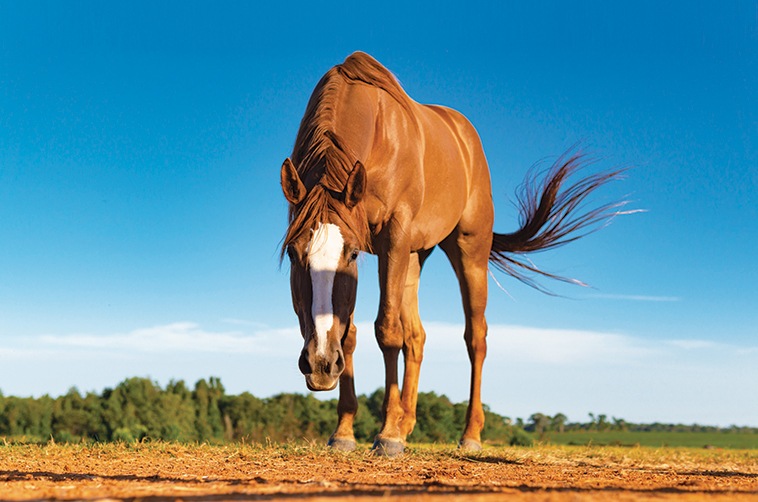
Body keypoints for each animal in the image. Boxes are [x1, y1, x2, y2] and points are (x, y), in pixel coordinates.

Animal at [280, 52, 625, 456]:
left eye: (349, 254)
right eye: (293, 253)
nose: (320, 363)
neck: (376, 131)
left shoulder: (391, 238)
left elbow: (387, 331)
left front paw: (387, 434)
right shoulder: (380, 249)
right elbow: (350, 333)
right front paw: (346, 431)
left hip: (468, 251)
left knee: (475, 337)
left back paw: (468, 434)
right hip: (414, 257)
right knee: (416, 336)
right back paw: (407, 423)